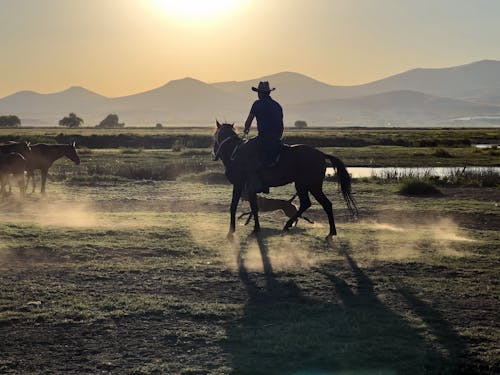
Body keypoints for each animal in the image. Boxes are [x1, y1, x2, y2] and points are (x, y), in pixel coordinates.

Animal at [213, 122, 358, 241]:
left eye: (214, 136)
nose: (214, 154)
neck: (235, 153)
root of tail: (321, 154)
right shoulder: (249, 188)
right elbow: (253, 207)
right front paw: (254, 228)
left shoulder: (239, 185)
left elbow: (236, 206)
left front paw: (233, 231)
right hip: (304, 185)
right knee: (312, 204)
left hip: (310, 186)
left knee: (321, 204)